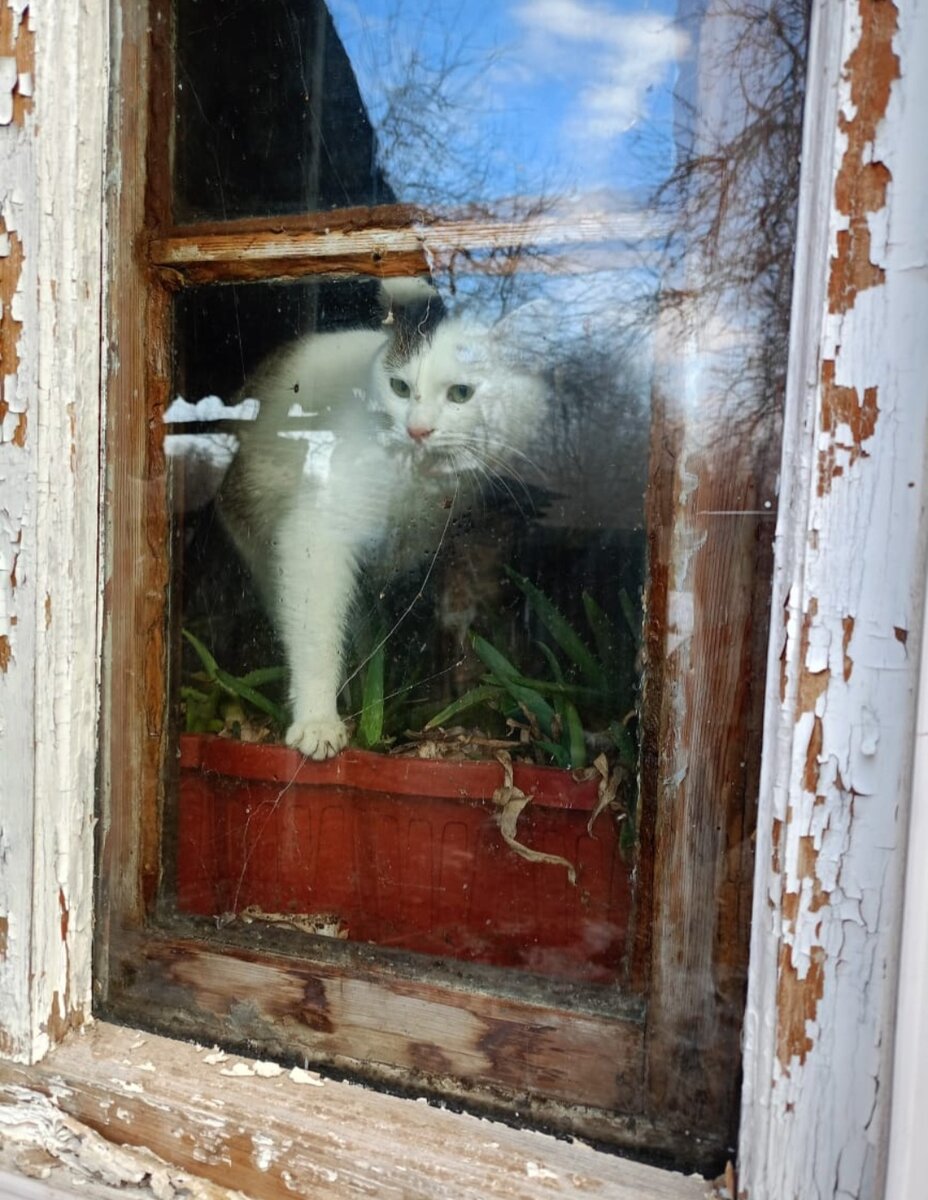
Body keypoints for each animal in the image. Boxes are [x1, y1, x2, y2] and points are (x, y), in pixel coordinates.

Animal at [218, 291, 547, 758]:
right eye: (400, 388)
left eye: (461, 393)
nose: (418, 430)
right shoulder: (316, 535)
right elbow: (316, 632)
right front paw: (317, 720)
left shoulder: (465, 538)